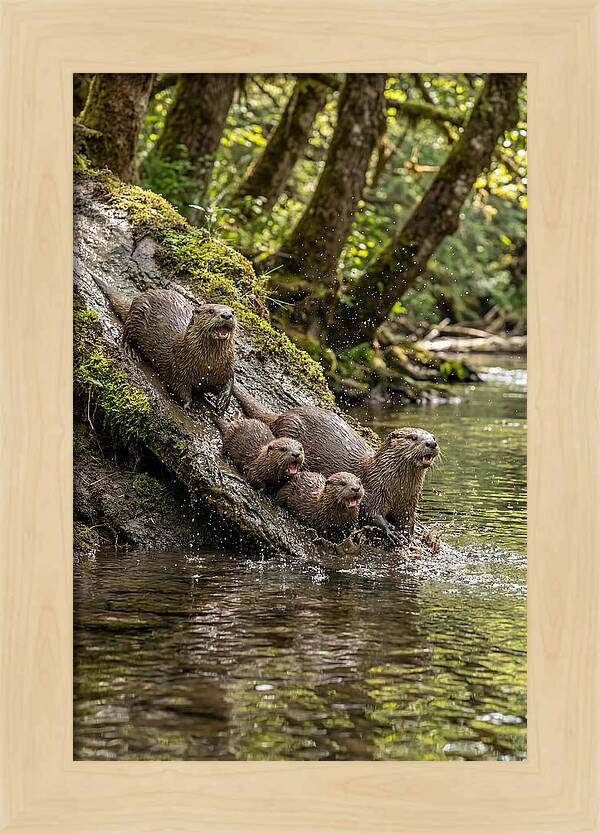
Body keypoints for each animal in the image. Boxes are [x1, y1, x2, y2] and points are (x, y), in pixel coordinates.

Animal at [92, 277, 236, 413]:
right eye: (211, 311)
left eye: (233, 311)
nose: (226, 315)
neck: (208, 367)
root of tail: (141, 295)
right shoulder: (179, 368)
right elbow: (179, 389)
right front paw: (190, 408)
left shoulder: (227, 367)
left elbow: (230, 380)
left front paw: (223, 400)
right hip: (137, 315)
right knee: (126, 332)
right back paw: (131, 350)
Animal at [234, 383, 439, 543]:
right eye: (413, 438)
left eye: (433, 436)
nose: (431, 443)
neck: (397, 488)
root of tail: (283, 416)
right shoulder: (374, 491)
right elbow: (372, 514)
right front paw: (390, 531)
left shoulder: (409, 503)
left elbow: (407, 521)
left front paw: (409, 536)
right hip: (289, 430)